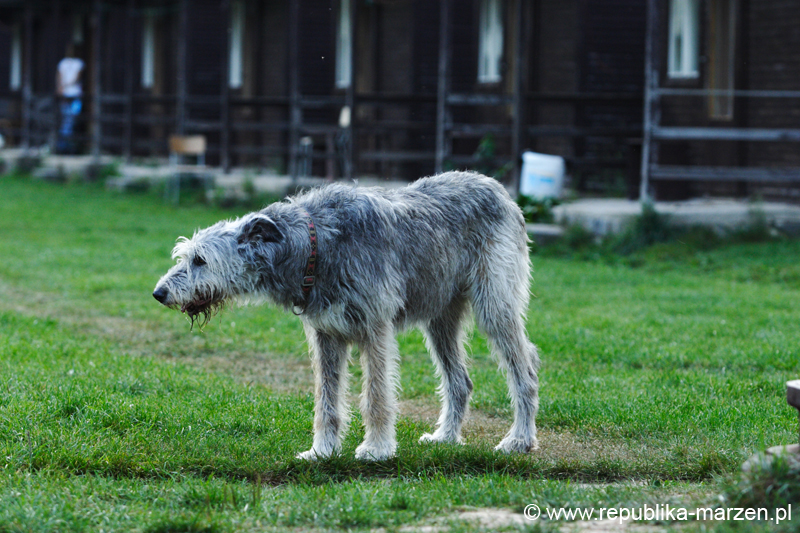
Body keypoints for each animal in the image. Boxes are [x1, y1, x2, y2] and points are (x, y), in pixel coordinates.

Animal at [153, 171, 540, 462]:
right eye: (184, 257)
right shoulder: (326, 336)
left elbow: (376, 395)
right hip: (440, 318)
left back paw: (519, 440)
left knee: (525, 370)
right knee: (460, 381)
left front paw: (377, 449)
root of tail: (499, 190)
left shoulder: (375, 328)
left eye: (200, 260)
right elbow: (326, 400)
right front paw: (322, 451)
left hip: (495, 306)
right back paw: (445, 436)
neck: (315, 245)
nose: (159, 293)